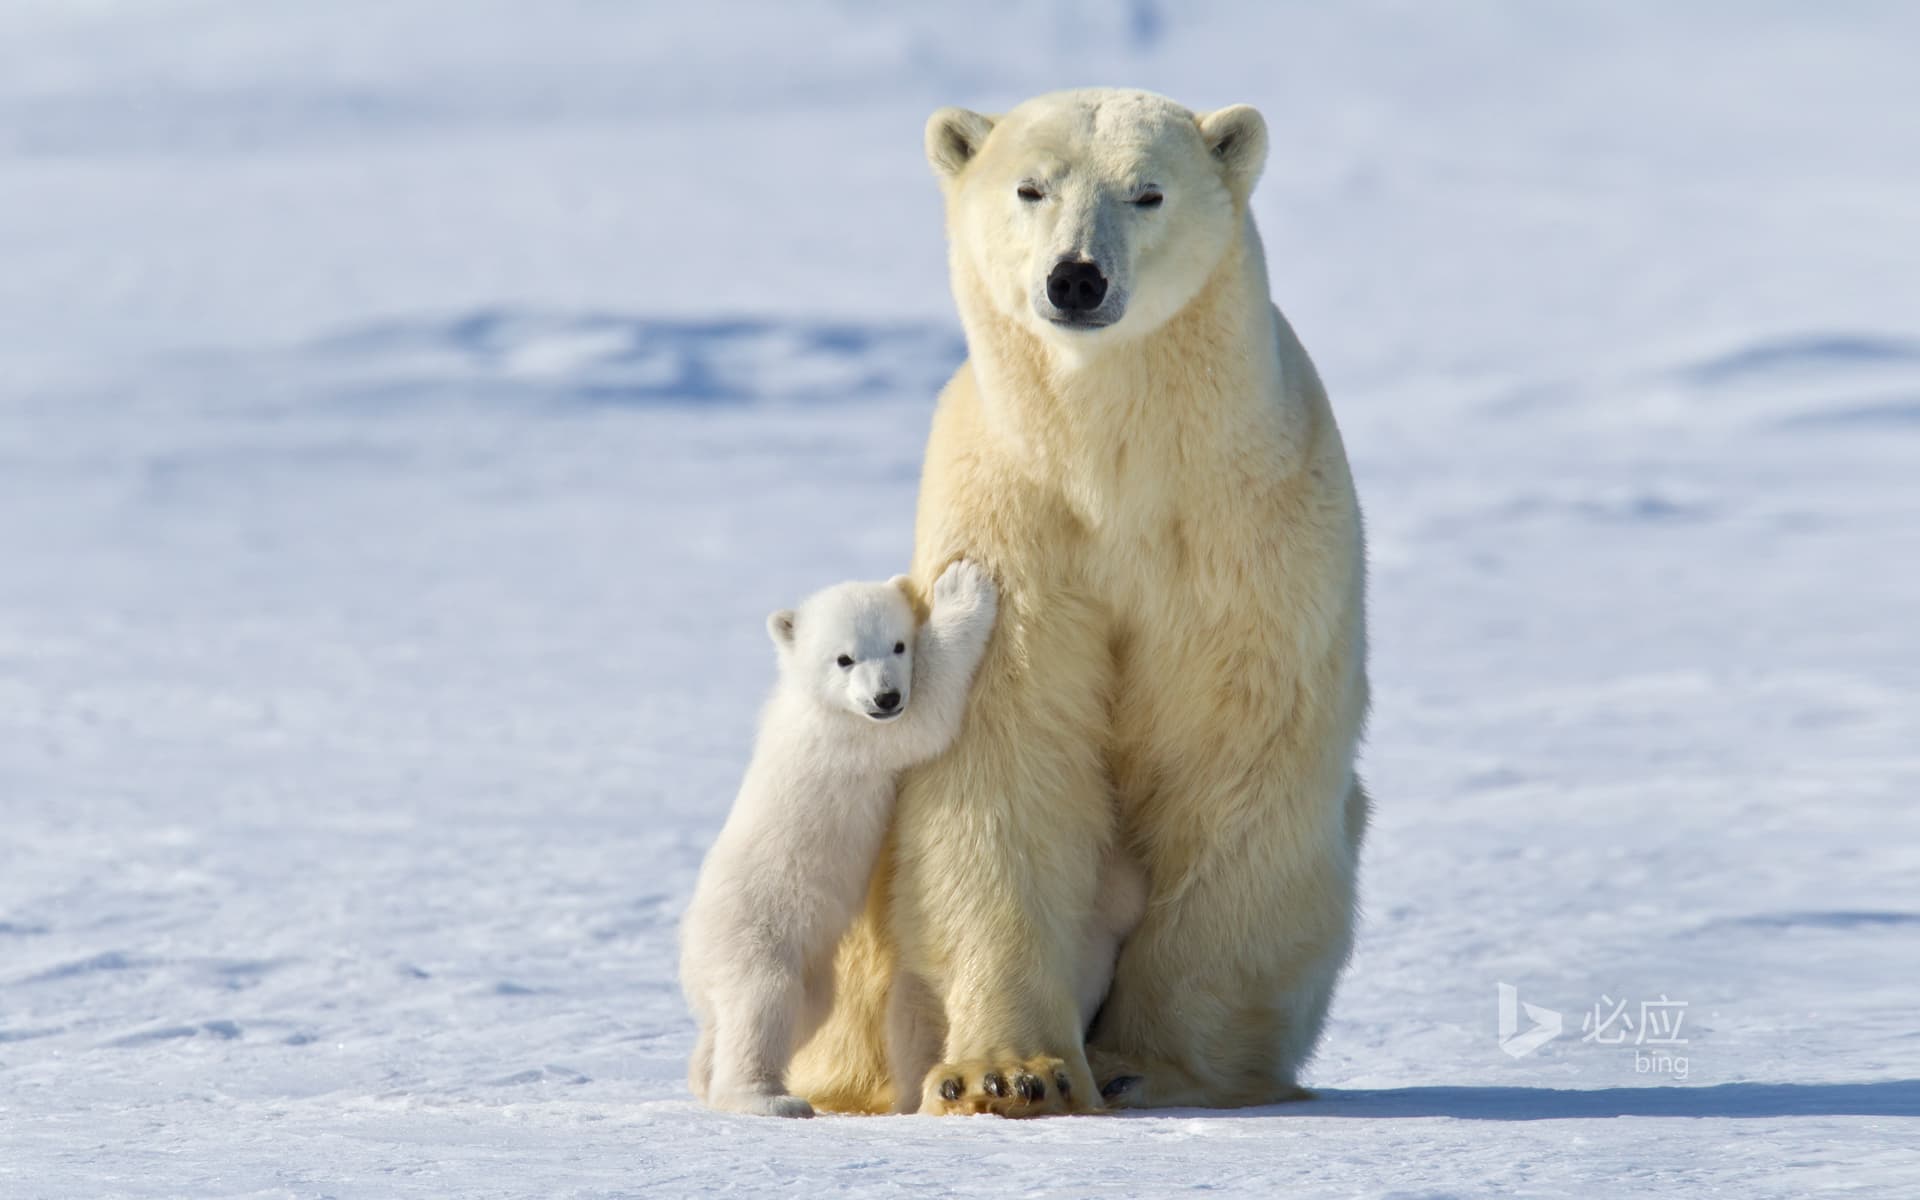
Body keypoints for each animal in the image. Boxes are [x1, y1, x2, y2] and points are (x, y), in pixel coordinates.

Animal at [679, 561, 997, 1117]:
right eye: (844, 658)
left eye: (897, 644)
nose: (885, 697)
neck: (814, 701)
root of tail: (689, 955)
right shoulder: (853, 737)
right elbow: (926, 716)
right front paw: (961, 588)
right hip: (755, 931)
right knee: (760, 1002)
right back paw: (769, 1098)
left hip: (808, 969)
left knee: (793, 1013)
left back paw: (704, 1074)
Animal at [786, 88, 1370, 1116]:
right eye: (1031, 187)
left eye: (1148, 191)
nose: (1076, 279)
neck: (1117, 467)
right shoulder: (1014, 527)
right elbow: (1005, 762)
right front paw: (1012, 1072)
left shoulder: (1248, 535)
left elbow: (1236, 757)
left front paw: (1152, 1064)